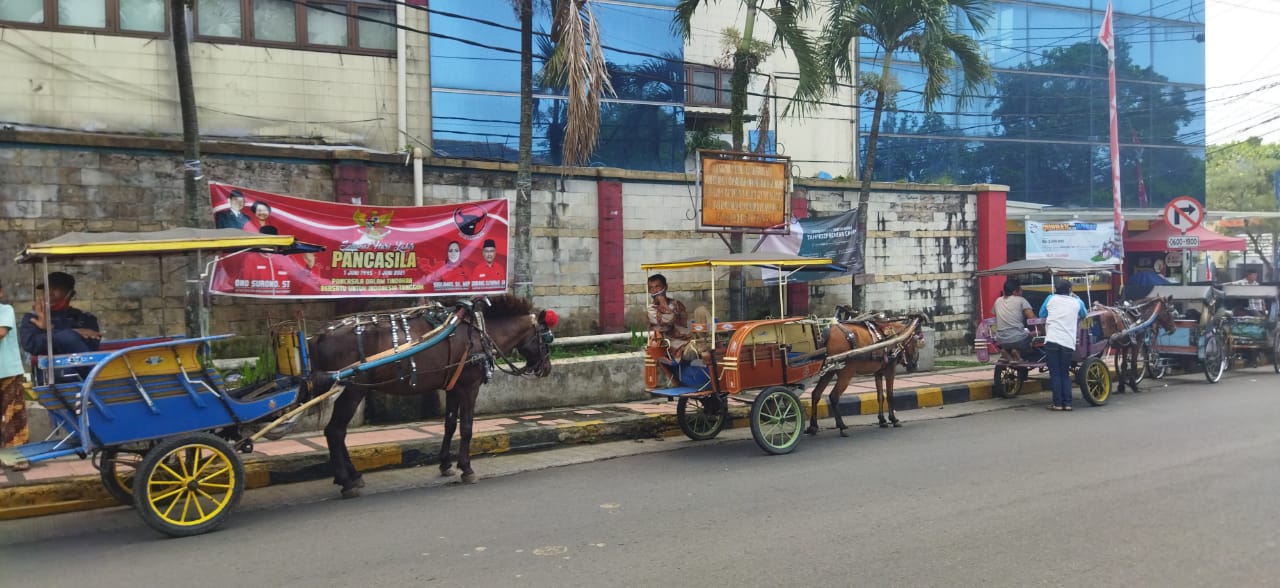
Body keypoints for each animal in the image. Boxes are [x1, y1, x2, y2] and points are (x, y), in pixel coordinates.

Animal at [308, 297, 555, 499]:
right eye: (546, 338)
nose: (547, 369)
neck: (480, 333)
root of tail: (321, 334)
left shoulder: (453, 387)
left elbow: (449, 425)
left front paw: (445, 464)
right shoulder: (469, 387)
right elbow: (466, 428)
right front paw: (467, 469)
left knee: (339, 432)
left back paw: (353, 475)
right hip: (353, 389)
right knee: (335, 431)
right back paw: (347, 482)